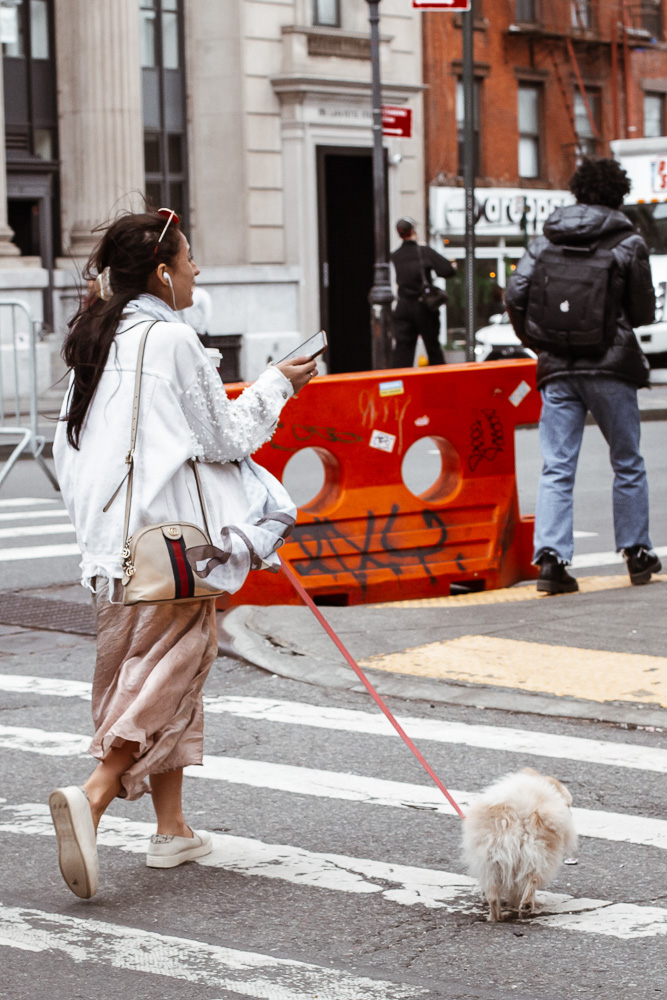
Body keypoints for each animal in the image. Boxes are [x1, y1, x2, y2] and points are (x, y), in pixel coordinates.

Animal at [462, 764, 576, 920]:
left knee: (494, 895)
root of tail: (521, 813)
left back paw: (496, 916)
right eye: (568, 805)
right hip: (538, 855)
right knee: (532, 879)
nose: (571, 812)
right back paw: (526, 906)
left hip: (490, 860)